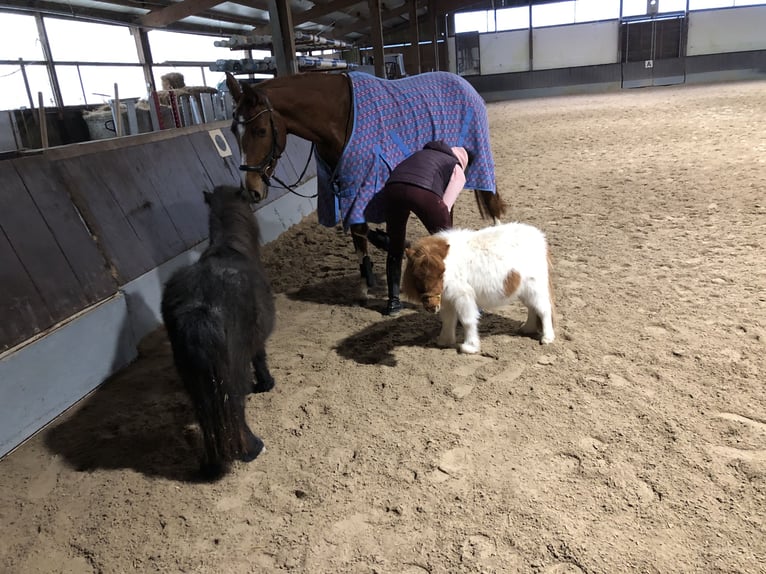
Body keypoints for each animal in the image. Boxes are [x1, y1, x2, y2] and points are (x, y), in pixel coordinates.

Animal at [161, 185, 276, 480]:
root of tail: (199, 306)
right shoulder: (255, 343)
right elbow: (260, 358)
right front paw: (266, 384)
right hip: (231, 371)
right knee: (235, 405)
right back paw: (252, 449)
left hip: (196, 379)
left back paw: (211, 464)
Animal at [225, 70, 506, 304]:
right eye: (233, 131)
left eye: (261, 130)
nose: (251, 189)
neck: (338, 117)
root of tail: (464, 83)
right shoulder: (346, 186)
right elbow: (359, 232)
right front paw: (365, 282)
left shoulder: (365, 184)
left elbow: (364, 230)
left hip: (478, 157)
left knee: (489, 201)